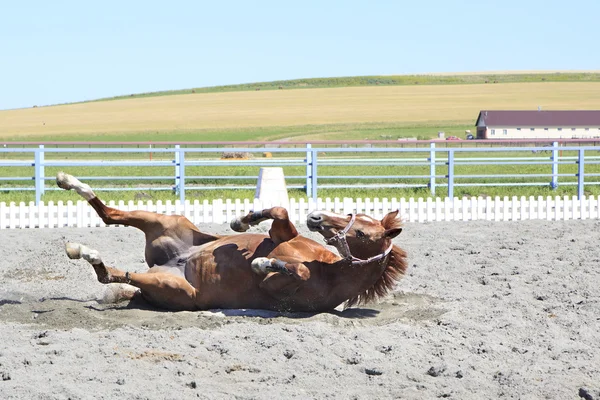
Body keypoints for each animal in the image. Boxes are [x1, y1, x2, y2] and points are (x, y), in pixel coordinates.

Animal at [57, 172, 408, 312]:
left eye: (361, 233)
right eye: (354, 215)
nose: (316, 218)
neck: (330, 270)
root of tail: (166, 263)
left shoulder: (280, 288)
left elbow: (291, 270)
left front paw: (262, 262)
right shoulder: (282, 236)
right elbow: (279, 213)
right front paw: (242, 222)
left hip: (177, 290)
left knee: (109, 274)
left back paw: (82, 250)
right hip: (168, 223)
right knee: (109, 215)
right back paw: (68, 181)